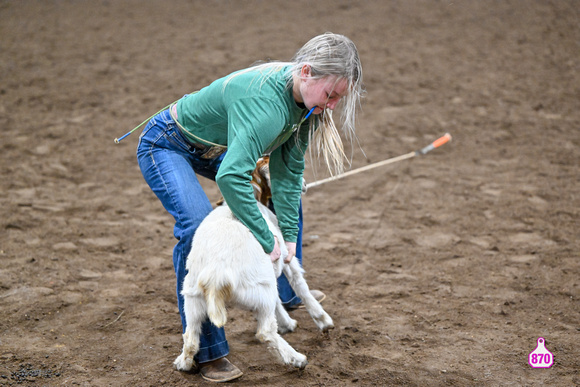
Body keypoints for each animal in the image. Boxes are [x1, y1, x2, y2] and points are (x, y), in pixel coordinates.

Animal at [174, 202, 334, 372]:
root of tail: (216, 273)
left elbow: (279, 301)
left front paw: (287, 324)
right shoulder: (285, 258)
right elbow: (300, 286)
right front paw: (323, 321)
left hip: (193, 298)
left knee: (190, 336)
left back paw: (183, 363)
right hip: (262, 289)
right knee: (266, 332)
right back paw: (297, 359)